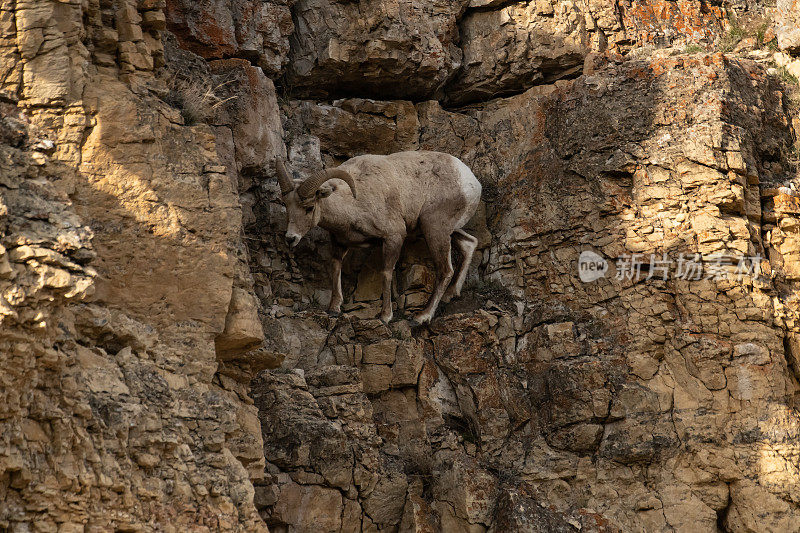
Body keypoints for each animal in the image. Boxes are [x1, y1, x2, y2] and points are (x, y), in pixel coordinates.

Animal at [276, 150, 482, 324]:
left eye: (309, 207)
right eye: (287, 205)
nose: (291, 238)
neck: (354, 201)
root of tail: (472, 183)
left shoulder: (393, 237)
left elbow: (386, 273)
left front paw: (385, 316)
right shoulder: (340, 243)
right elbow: (335, 268)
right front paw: (334, 308)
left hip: (434, 229)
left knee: (445, 270)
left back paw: (421, 317)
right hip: (444, 230)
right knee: (469, 244)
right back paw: (451, 294)